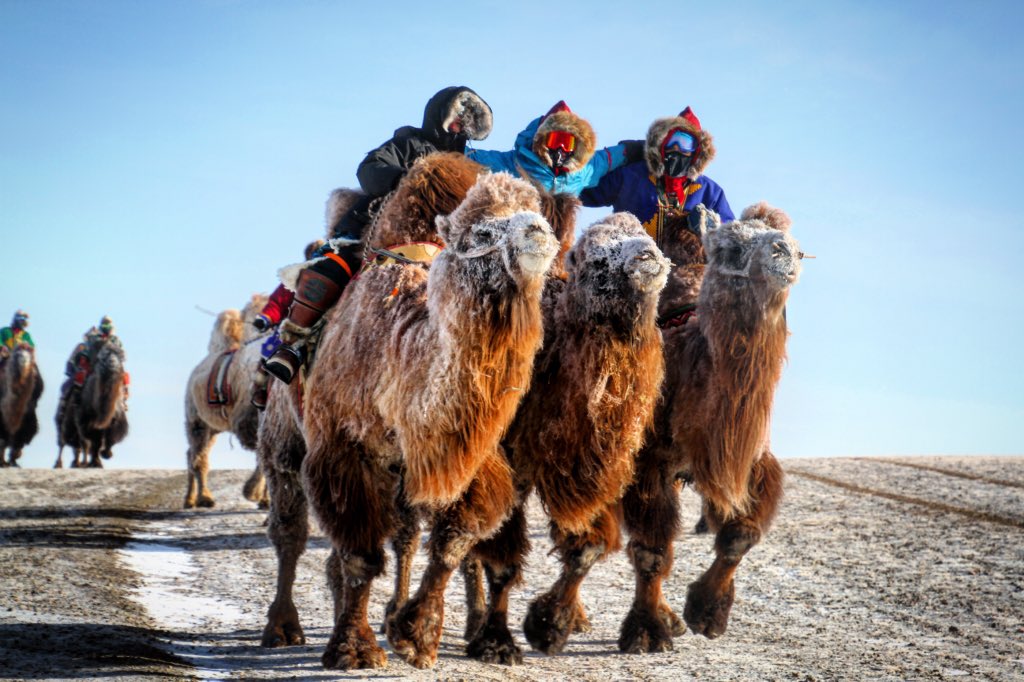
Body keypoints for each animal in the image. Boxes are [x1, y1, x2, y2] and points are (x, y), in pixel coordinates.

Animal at [56, 338, 129, 468]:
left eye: (121, 357)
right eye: (101, 358)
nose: (112, 364)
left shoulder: (116, 420)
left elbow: (109, 437)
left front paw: (105, 454)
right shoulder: (85, 421)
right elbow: (94, 441)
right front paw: (96, 462)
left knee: (77, 445)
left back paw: (78, 463)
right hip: (64, 424)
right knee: (64, 442)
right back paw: (61, 464)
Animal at [183, 294, 271, 509]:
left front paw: (263, 499)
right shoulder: (248, 420)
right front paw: (252, 493)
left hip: (212, 427)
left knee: (192, 454)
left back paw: (190, 499)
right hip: (195, 420)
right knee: (198, 457)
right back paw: (204, 498)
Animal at [463, 212, 670, 663]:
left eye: (645, 236)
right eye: (596, 259)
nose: (647, 256)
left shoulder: (601, 468)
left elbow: (585, 550)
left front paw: (549, 626)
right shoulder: (514, 461)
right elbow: (502, 560)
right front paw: (497, 643)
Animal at [617, 202, 803, 653]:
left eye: (797, 246)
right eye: (731, 246)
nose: (785, 251)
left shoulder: (751, 461)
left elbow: (740, 537)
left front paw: (707, 613)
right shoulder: (649, 461)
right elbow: (651, 550)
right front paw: (647, 631)